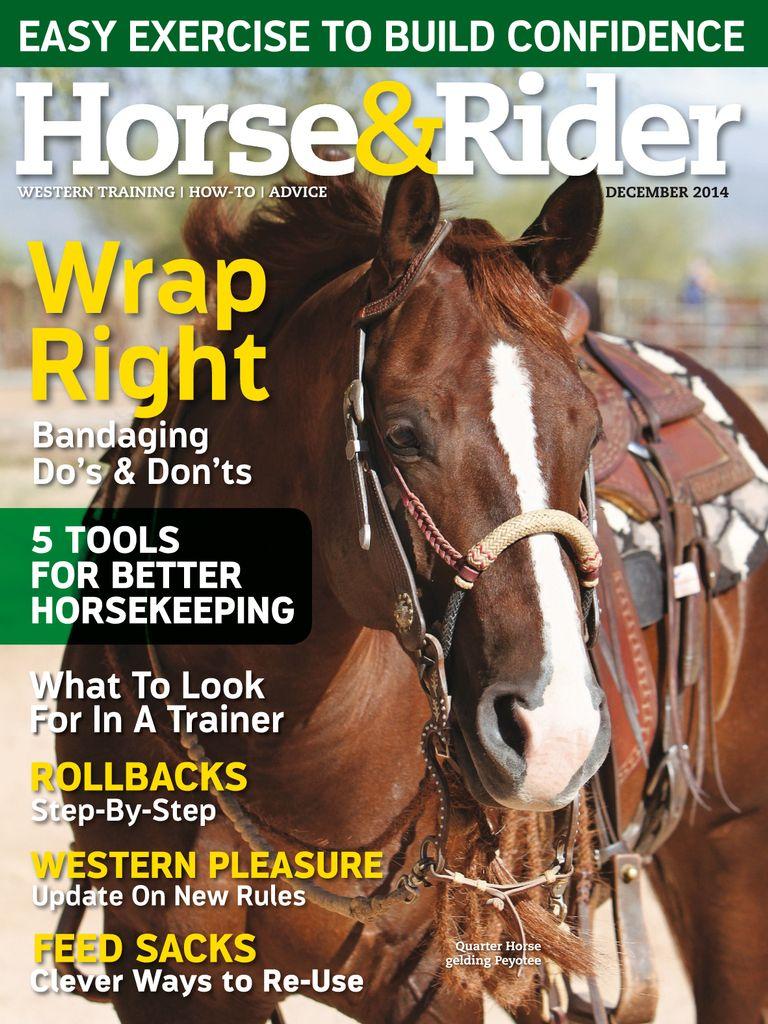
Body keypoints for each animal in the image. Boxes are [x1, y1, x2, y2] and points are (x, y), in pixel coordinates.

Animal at [58, 163, 768, 1024]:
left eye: (590, 433)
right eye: (400, 435)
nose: (554, 732)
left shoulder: (434, 983)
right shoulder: (163, 978)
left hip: (733, 851)